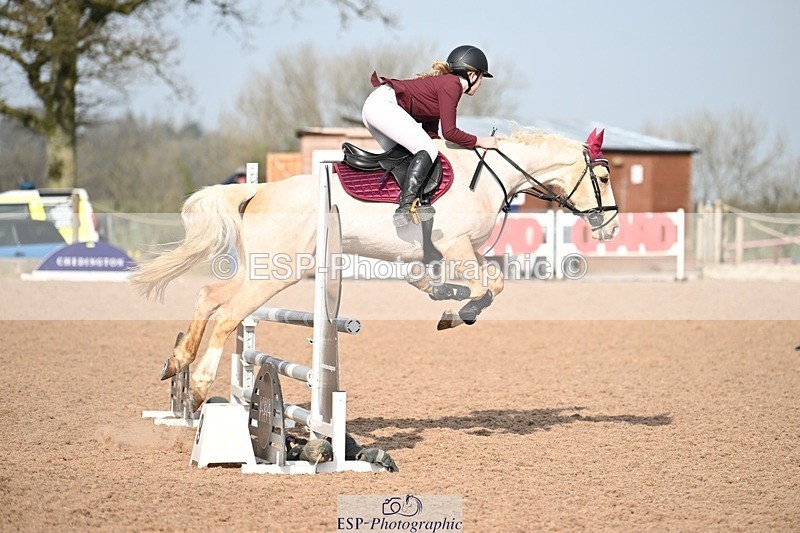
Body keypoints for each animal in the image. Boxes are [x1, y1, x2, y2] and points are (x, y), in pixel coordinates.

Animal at [129, 128, 620, 409]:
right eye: (604, 177)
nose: (612, 226)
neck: (490, 176)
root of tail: (257, 189)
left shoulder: (460, 250)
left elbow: (489, 282)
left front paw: (450, 308)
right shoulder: (456, 245)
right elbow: (483, 287)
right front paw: (459, 310)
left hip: (261, 268)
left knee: (209, 297)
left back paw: (177, 363)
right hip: (278, 272)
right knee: (229, 315)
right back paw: (197, 387)